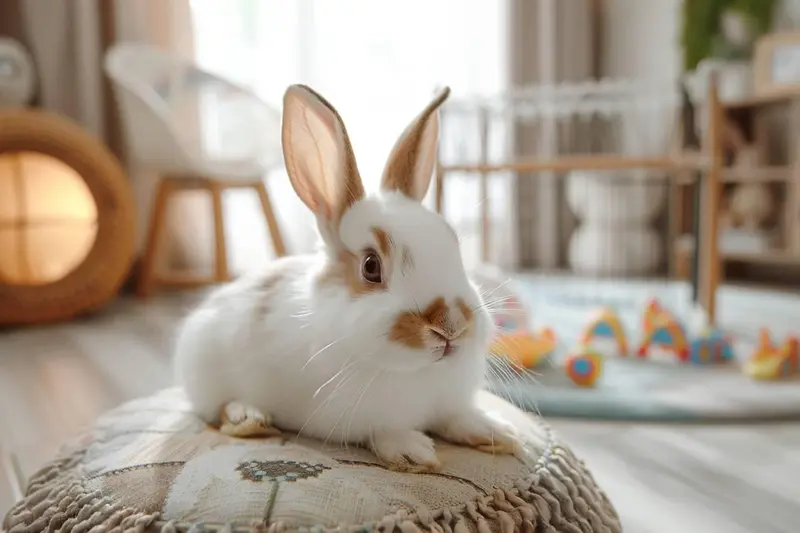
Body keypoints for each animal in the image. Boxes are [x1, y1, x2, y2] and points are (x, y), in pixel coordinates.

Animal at [173, 84, 520, 473]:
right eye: (370, 266)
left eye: (453, 242)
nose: (452, 326)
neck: (418, 372)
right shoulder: (351, 421)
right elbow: (382, 432)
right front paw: (412, 452)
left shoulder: (449, 405)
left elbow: (457, 417)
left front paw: (495, 431)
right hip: (204, 372)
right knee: (217, 408)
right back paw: (247, 416)